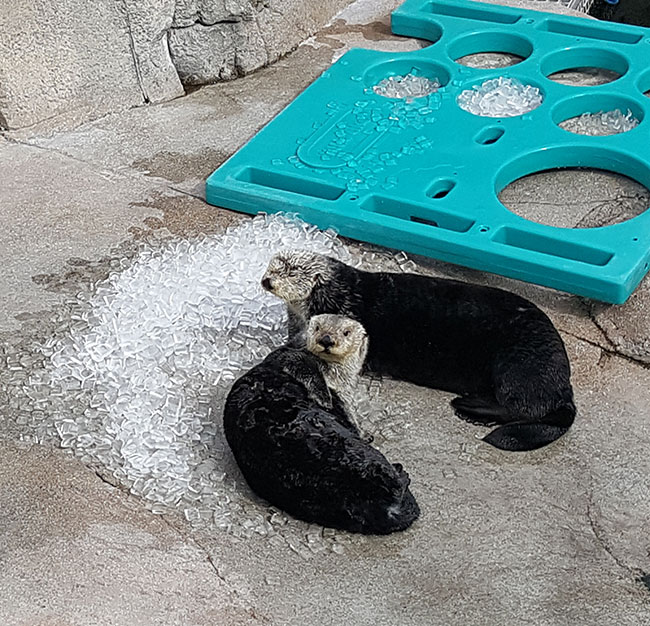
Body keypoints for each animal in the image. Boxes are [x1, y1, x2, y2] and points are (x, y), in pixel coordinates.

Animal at [260, 251, 576, 450]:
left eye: (291, 272)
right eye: (271, 267)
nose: (266, 280)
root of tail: (564, 387)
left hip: (519, 363)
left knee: (524, 407)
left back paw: (468, 407)